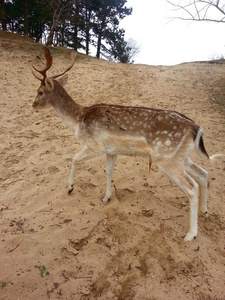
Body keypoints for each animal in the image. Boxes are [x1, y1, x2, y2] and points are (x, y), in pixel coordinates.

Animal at [32, 45, 219, 241]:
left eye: (40, 91)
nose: (33, 105)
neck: (78, 120)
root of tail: (196, 128)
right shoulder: (111, 150)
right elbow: (108, 171)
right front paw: (106, 197)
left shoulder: (94, 144)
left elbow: (74, 158)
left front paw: (70, 188)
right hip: (180, 157)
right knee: (203, 173)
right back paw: (205, 211)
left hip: (167, 159)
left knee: (192, 187)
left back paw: (191, 234)